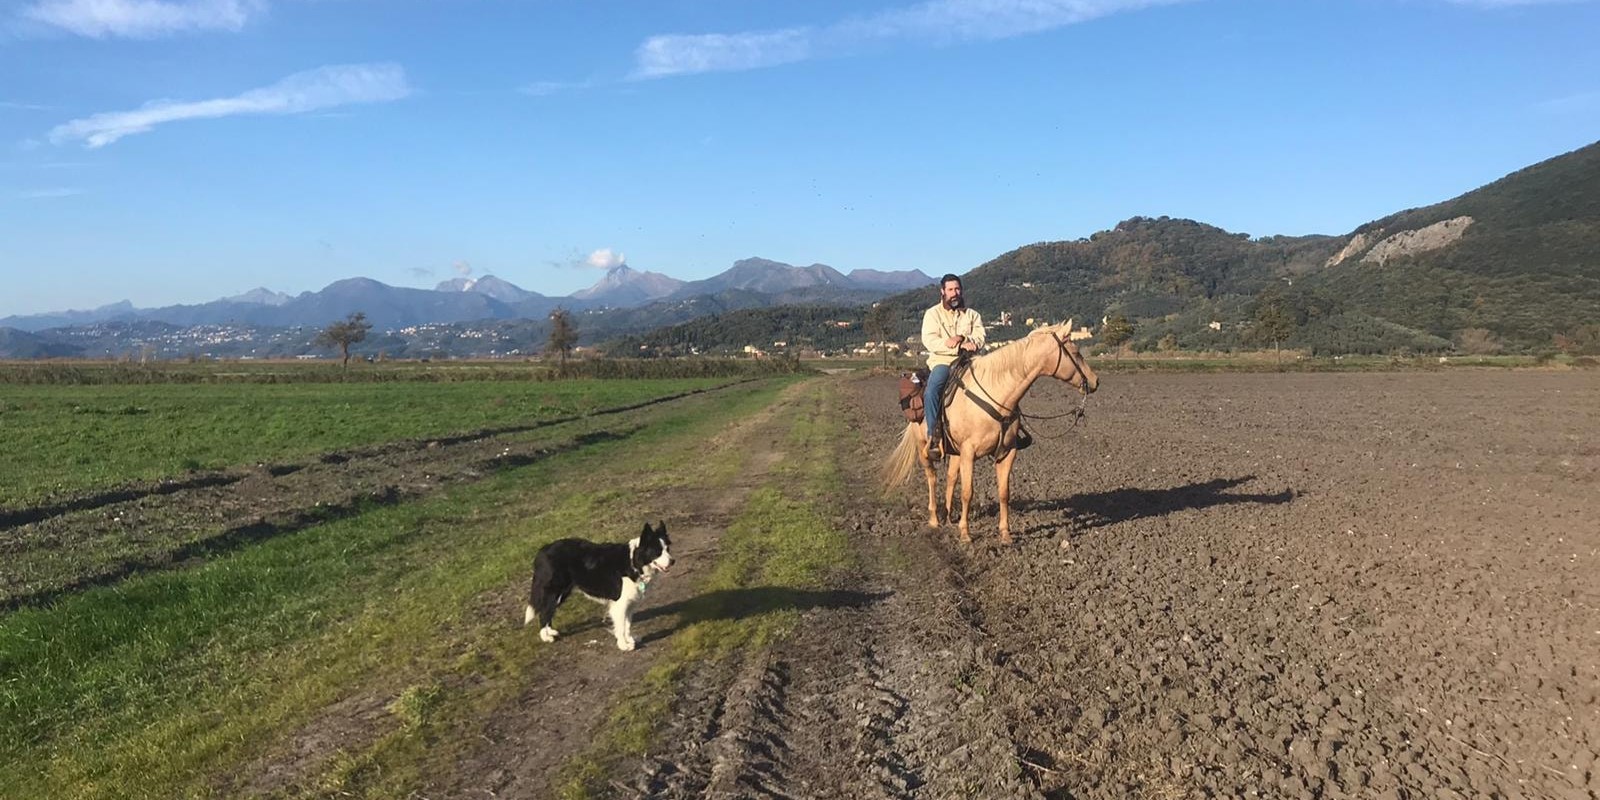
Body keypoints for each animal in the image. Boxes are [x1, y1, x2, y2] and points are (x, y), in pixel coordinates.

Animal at [881, 320, 1099, 544]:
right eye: (1077, 352)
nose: (1095, 381)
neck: (997, 395)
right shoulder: (969, 453)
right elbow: (968, 492)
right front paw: (965, 533)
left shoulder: (1006, 452)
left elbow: (1003, 492)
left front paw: (1005, 533)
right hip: (924, 447)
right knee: (931, 477)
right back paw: (934, 519)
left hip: (955, 452)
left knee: (950, 478)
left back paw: (948, 516)